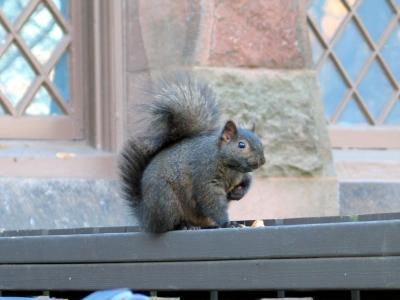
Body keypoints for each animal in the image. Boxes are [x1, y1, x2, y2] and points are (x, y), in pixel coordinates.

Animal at [119, 74, 266, 233]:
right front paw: (228, 223)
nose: (262, 161)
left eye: (260, 142)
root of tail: (145, 216)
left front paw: (238, 193)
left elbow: (247, 182)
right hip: (165, 200)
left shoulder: (243, 175)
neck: (231, 166)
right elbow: (211, 199)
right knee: (167, 226)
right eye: (241, 145)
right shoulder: (205, 174)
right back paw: (184, 225)